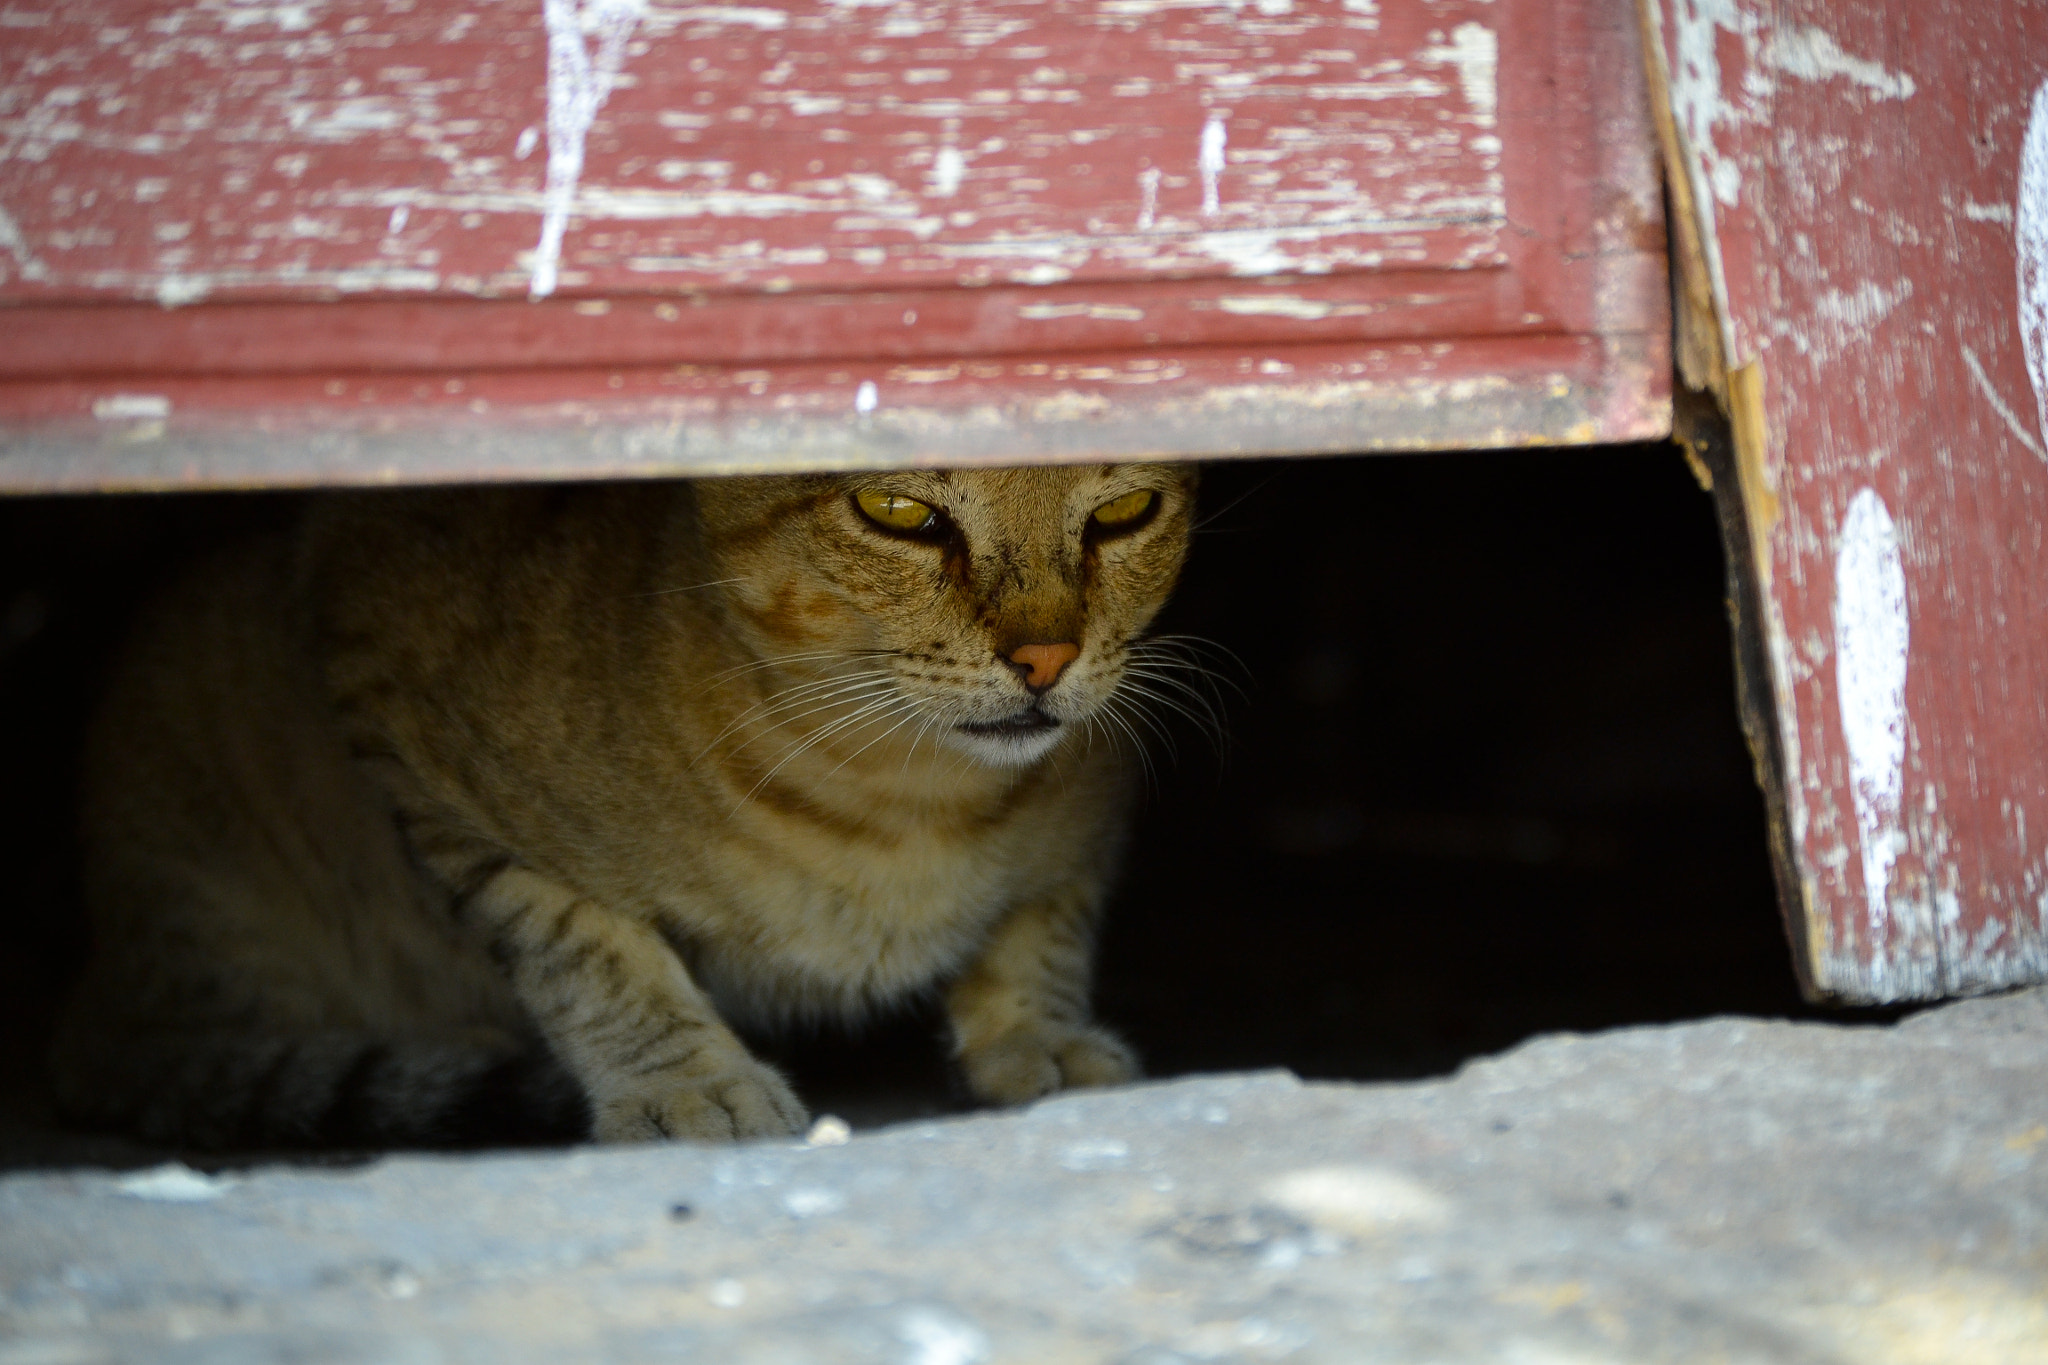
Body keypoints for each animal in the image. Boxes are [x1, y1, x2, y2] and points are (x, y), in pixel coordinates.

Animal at [48, 464, 1196, 1146]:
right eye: (898, 514)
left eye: (1123, 512)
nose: (1044, 659)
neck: (900, 801)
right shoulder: (388, 689)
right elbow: (586, 944)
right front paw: (684, 1086)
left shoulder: (1098, 800)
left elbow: (1044, 917)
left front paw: (1036, 1035)